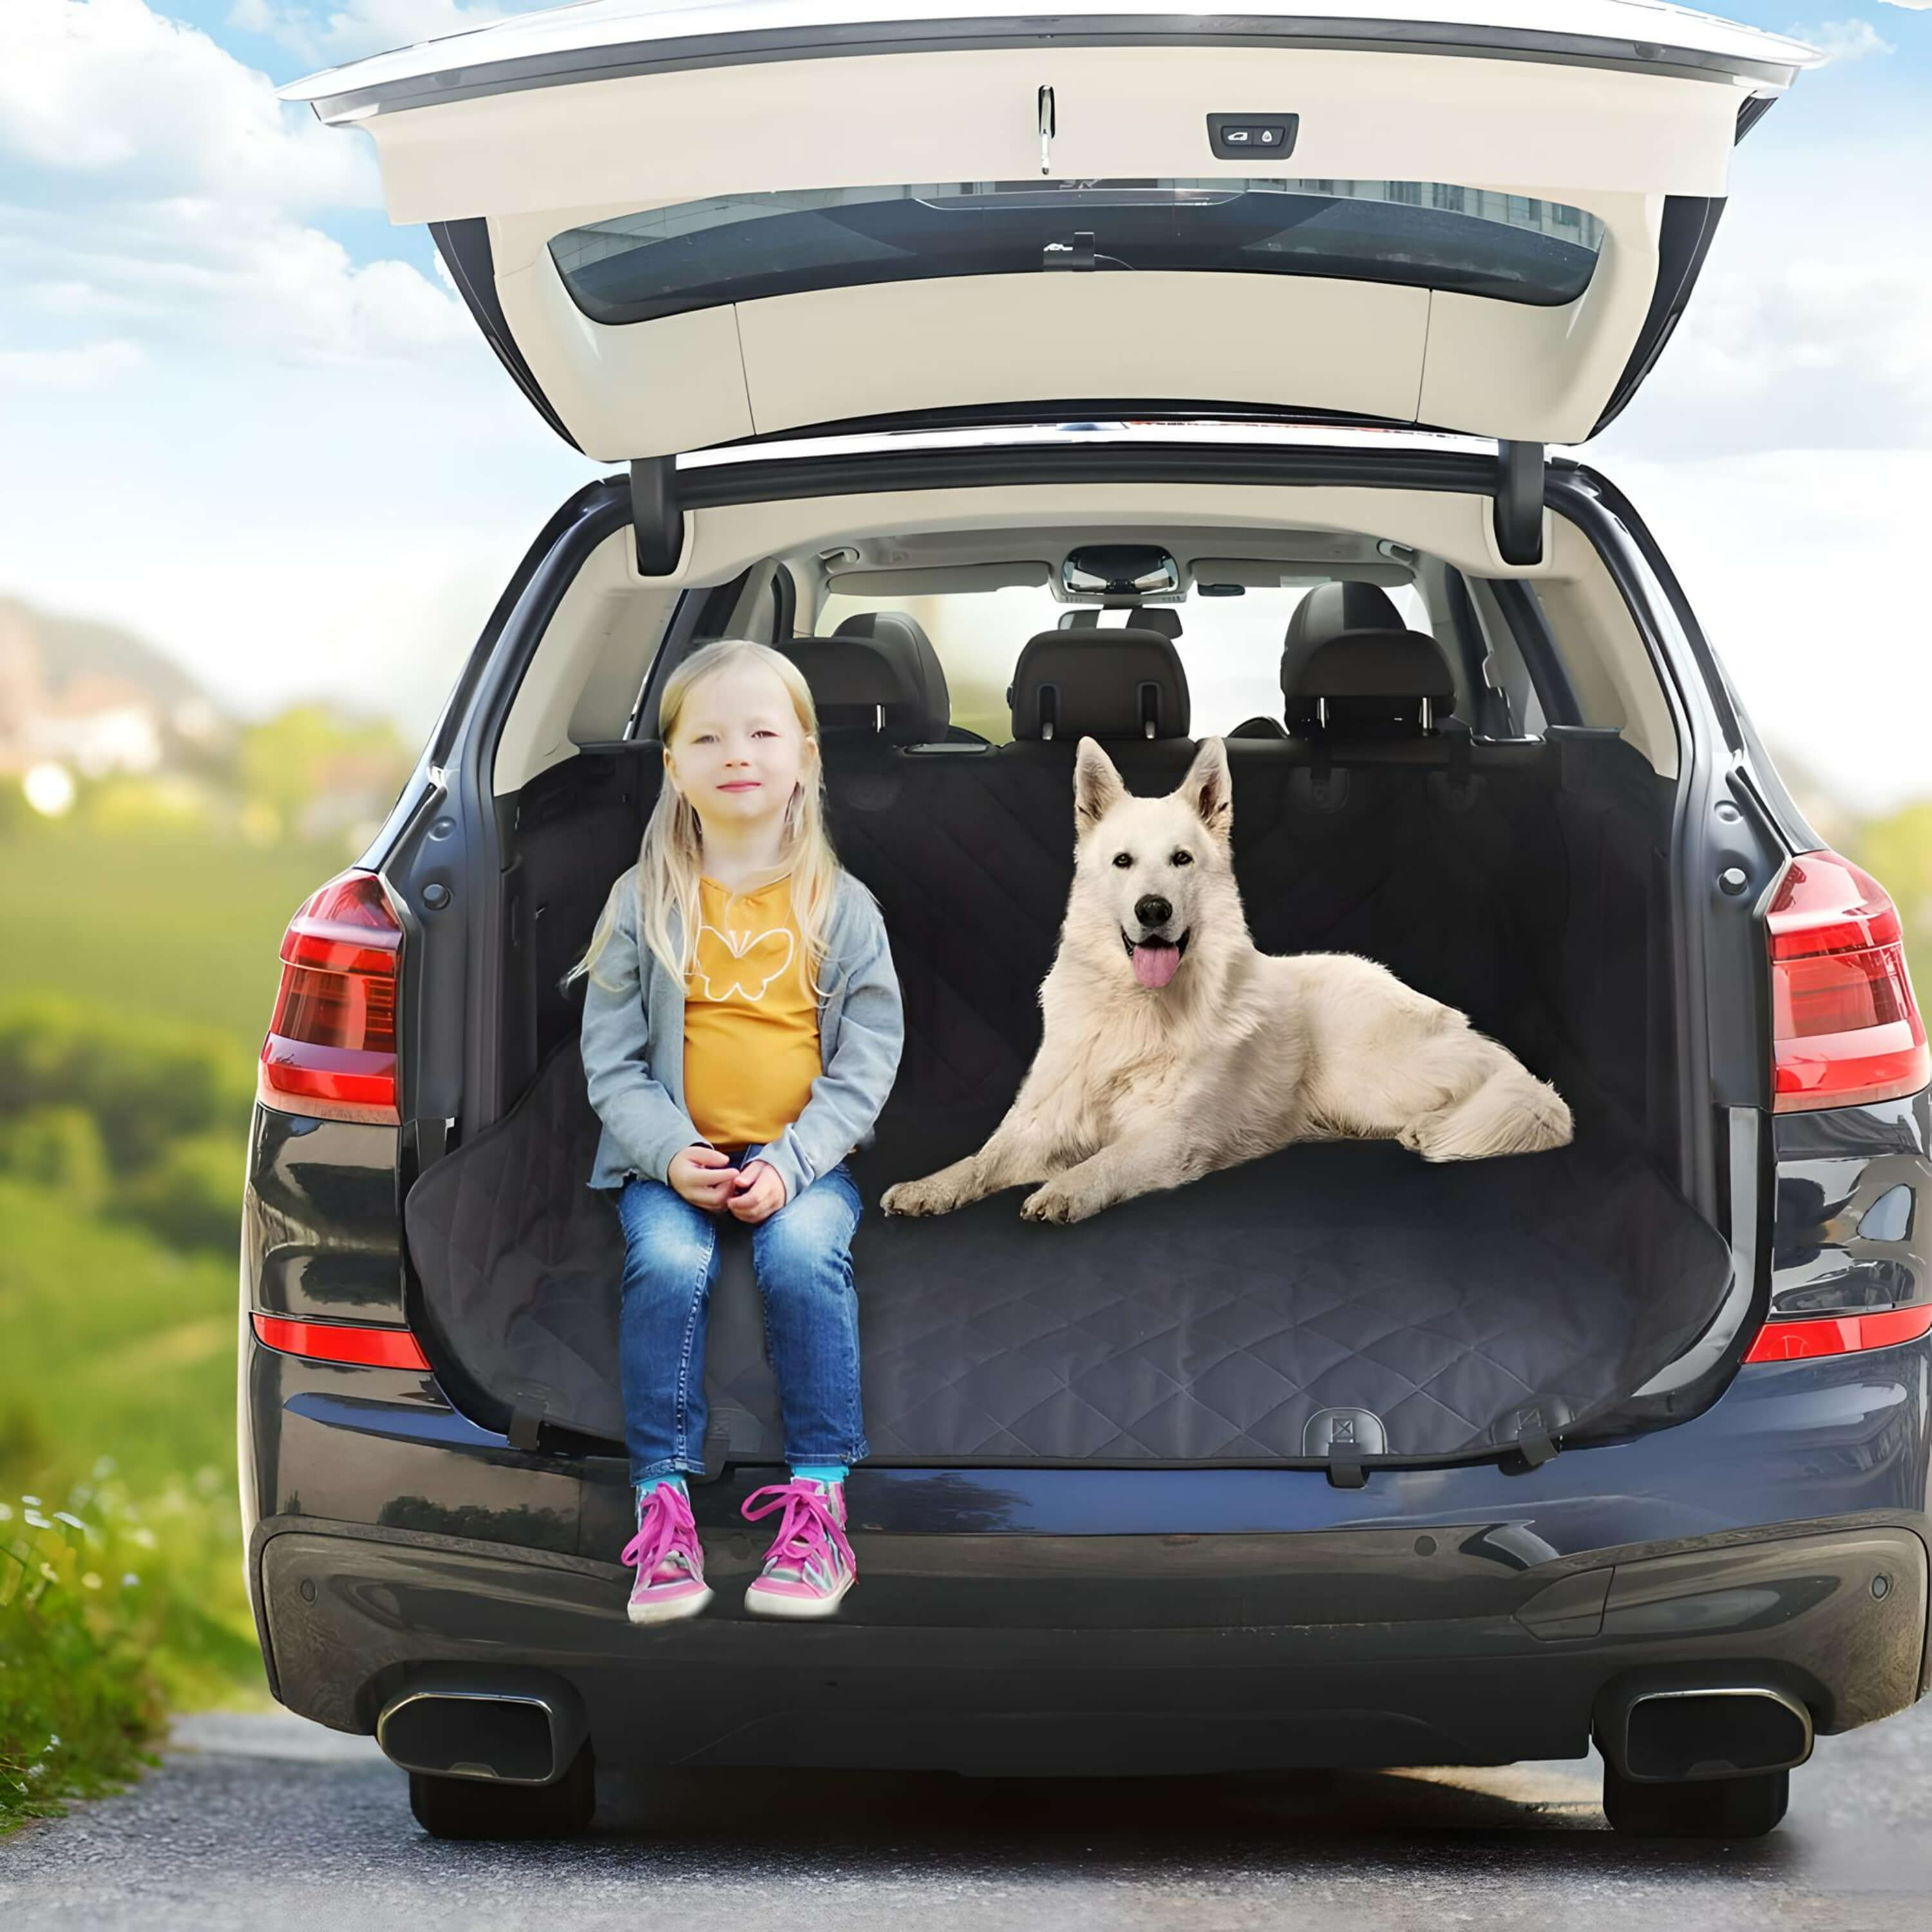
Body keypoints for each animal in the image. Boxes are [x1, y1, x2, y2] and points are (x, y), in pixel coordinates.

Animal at [885, 730, 1577, 1229]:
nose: (1153, 910)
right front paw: (930, 1187)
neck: (1136, 1011)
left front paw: (1069, 1188)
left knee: (1485, 1087)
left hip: (1367, 1078)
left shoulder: (1169, 1136)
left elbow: (1108, 1159)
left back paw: (1432, 1125)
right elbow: (981, 1160)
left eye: (1182, 860)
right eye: (1123, 862)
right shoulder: (1041, 1125)